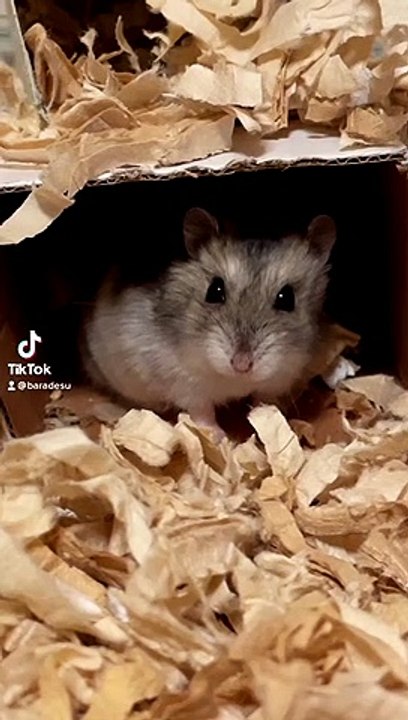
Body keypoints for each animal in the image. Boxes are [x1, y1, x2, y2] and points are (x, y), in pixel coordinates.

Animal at [82, 208, 336, 437]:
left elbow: (263, 404)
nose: (241, 365)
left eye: (287, 298)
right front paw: (218, 437)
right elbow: (202, 411)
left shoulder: (279, 379)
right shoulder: (184, 380)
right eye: (214, 290)